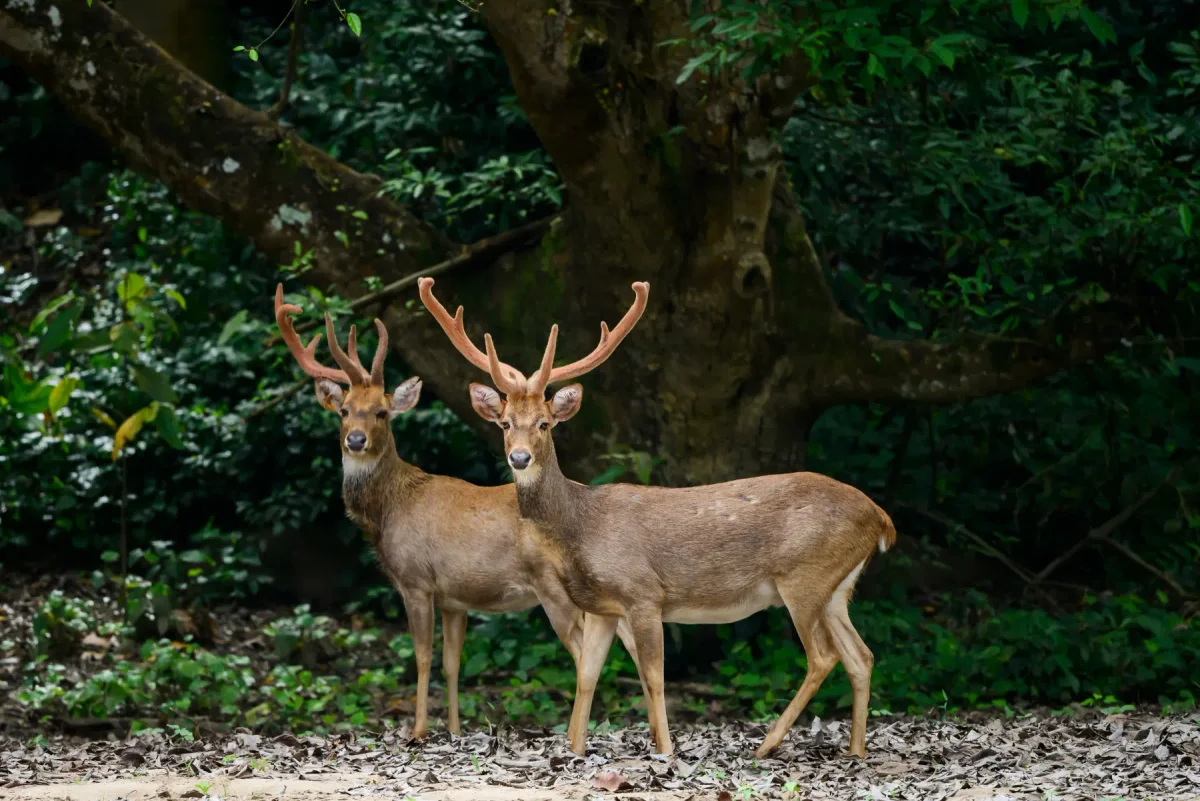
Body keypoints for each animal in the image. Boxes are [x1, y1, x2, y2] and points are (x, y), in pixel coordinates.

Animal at [270, 284, 644, 741]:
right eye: (343, 411)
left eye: (381, 411)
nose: (355, 440)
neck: (390, 507)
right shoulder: (455, 598)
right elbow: (452, 664)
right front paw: (453, 730)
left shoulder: (416, 580)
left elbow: (421, 657)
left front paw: (416, 731)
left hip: (554, 588)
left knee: (584, 653)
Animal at [419, 276, 896, 759]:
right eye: (504, 423)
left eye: (544, 424)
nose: (519, 458)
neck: (580, 528)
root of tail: (881, 518)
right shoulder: (602, 606)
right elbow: (587, 675)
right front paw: (575, 749)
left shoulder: (643, 593)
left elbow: (652, 678)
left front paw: (665, 750)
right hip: (837, 587)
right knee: (862, 655)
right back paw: (856, 750)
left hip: (803, 575)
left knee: (824, 655)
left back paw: (767, 745)